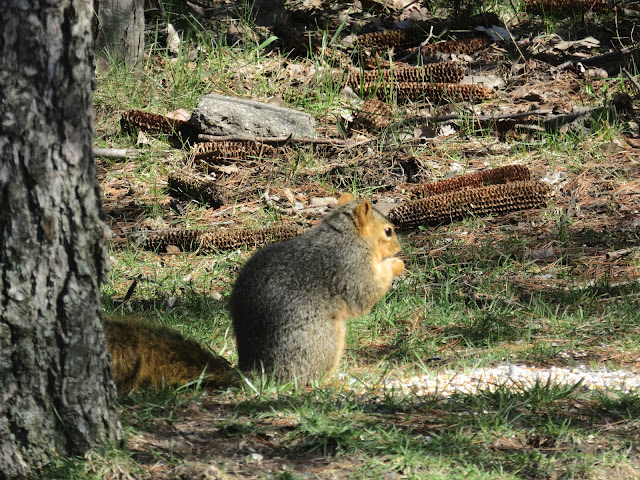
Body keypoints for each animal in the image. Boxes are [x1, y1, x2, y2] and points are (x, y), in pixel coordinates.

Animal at [230, 193, 404, 384]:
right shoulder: (354, 267)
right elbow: (365, 295)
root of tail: (258, 368)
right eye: (388, 231)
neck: (348, 237)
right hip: (325, 341)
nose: (399, 247)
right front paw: (395, 264)